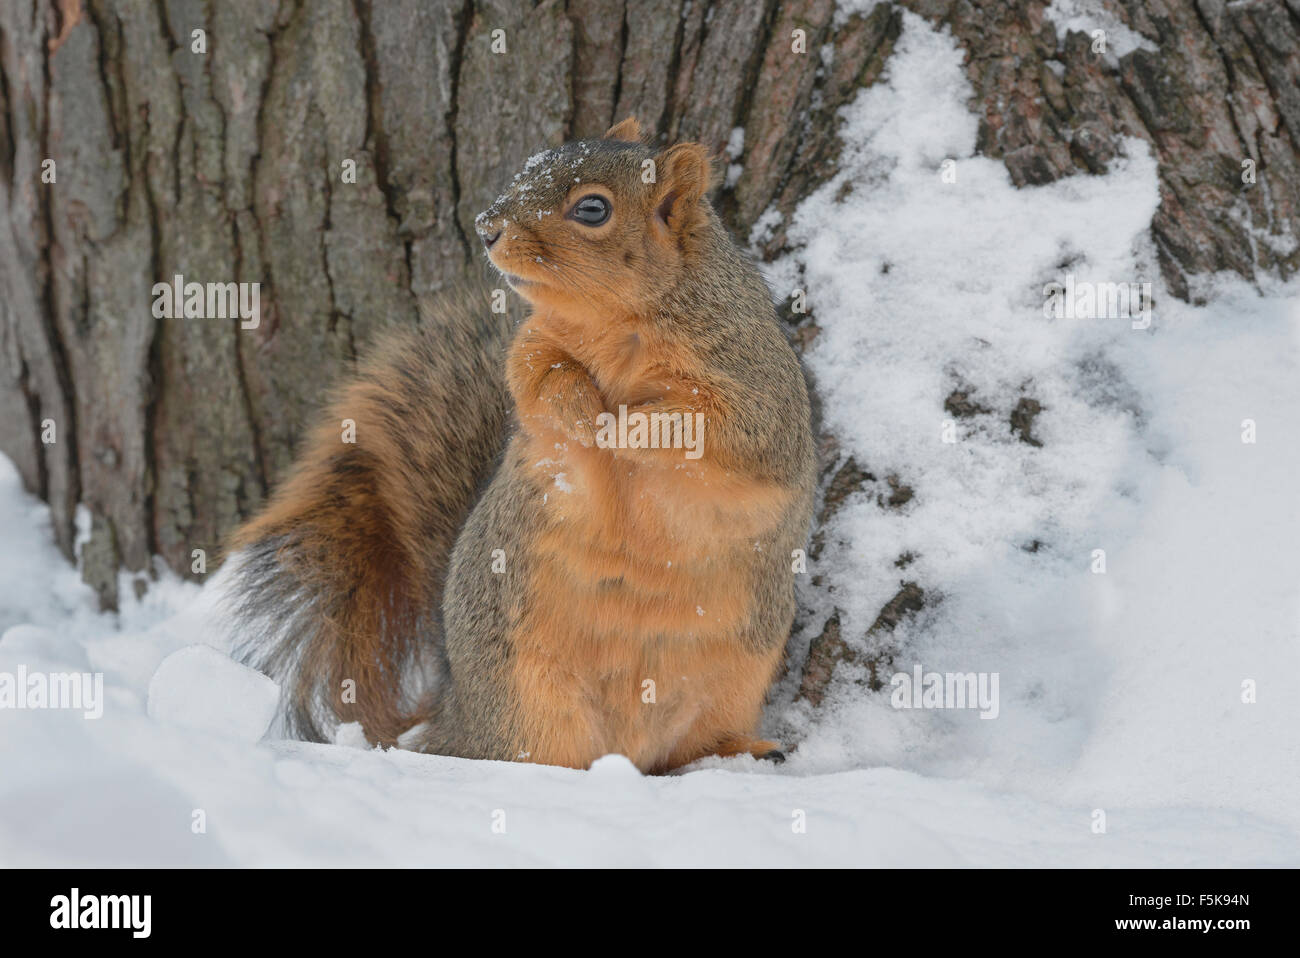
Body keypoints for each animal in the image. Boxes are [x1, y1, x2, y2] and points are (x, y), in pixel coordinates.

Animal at [223, 119, 811, 774]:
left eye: (592, 208)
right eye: (532, 164)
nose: (485, 227)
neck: (615, 326)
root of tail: (454, 707)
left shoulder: (754, 386)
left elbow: (715, 428)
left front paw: (625, 426)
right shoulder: (533, 346)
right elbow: (538, 379)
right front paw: (581, 408)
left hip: (736, 677)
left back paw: (742, 753)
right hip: (524, 693)